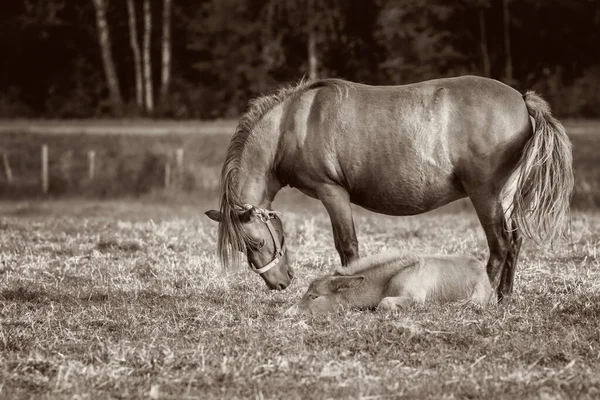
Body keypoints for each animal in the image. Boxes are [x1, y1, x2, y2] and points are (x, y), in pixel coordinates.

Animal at [205, 76, 572, 298]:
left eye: (254, 242)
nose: (278, 283)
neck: (291, 124)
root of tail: (522, 99)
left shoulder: (332, 192)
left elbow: (348, 247)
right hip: (505, 197)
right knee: (514, 242)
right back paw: (504, 297)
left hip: (486, 195)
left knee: (499, 245)